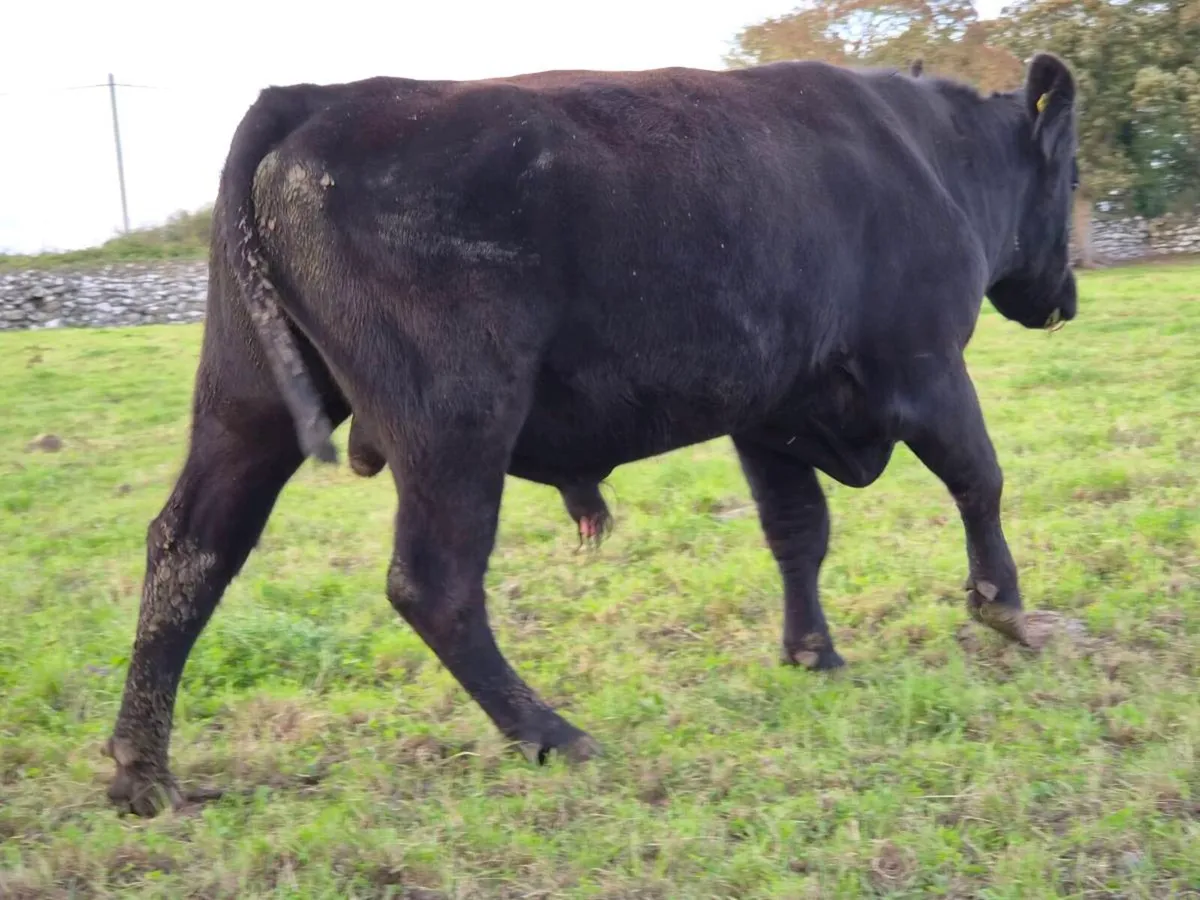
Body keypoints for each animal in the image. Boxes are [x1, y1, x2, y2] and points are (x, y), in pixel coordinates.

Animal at [103, 52, 1080, 816]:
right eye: (1069, 180)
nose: (1064, 299)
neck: (929, 156)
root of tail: (317, 95)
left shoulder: (773, 412)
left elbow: (798, 532)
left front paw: (815, 655)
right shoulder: (925, 368)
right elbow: (980, 478)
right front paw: (1011, 614)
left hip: (246, 408)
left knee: (190, 548)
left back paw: (143, 774)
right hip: (457, 424)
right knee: (433, 583)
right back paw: (553, 734)